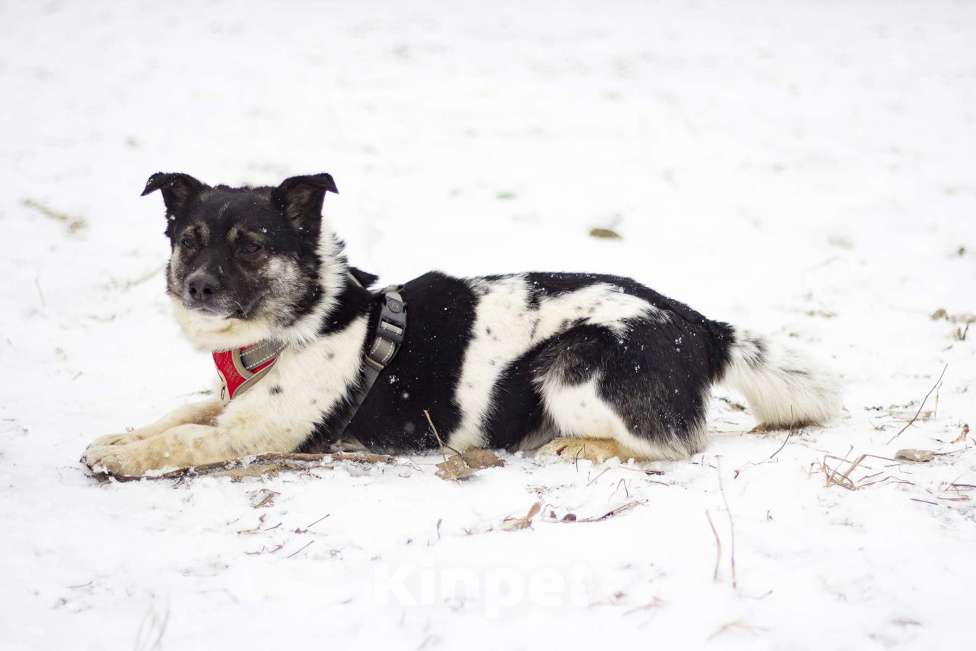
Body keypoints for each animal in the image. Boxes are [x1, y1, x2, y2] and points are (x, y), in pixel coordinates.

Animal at [82, 172, 840, 478]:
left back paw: (577, 447)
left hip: (573, 366)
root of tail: (700, 324)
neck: (309, 318)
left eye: (250, 245)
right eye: (190, 239)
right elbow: (178, 414)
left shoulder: (261, 433)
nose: (197, 286)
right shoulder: (229, 404)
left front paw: (121, 458)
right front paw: (117, 437)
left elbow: (183, 439)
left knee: (669, 446)